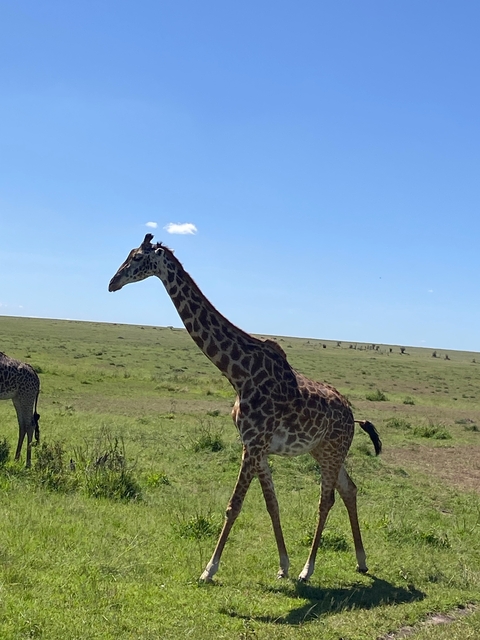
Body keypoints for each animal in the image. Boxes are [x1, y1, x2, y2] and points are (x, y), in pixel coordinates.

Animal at [109, 234, 382, 582]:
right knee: (350, 490)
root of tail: (352, 415)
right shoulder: (254, 446)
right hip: (323, 450)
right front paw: (282, 565)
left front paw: (209, 569)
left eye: (136, 257)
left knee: (327, 499)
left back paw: (308, 569)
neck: (239, 374)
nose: (112, 283)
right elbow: (271, 503)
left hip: (333, 451)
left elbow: (234, 506)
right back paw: (361, 560)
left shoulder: (253, 444)